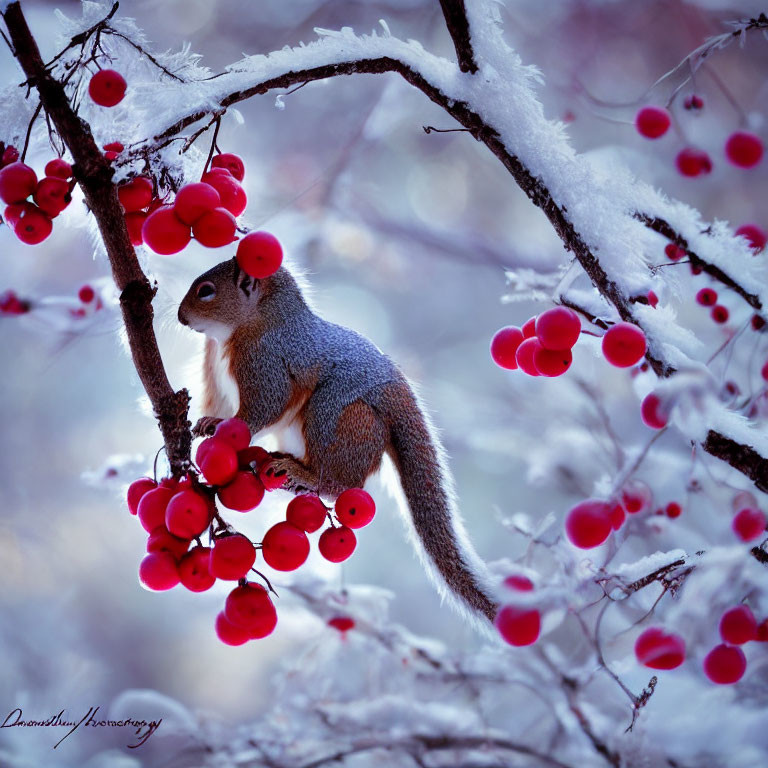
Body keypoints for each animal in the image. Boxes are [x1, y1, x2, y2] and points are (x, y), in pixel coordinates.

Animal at [178, 258, 498, 624]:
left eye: (206, 291)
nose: (181, 316)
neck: (254, 321)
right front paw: (207, 421)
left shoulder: (267, 361)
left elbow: (261, 409)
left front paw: (222, 425)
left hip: (332, 417)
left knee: (340, 483)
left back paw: (304, 476)